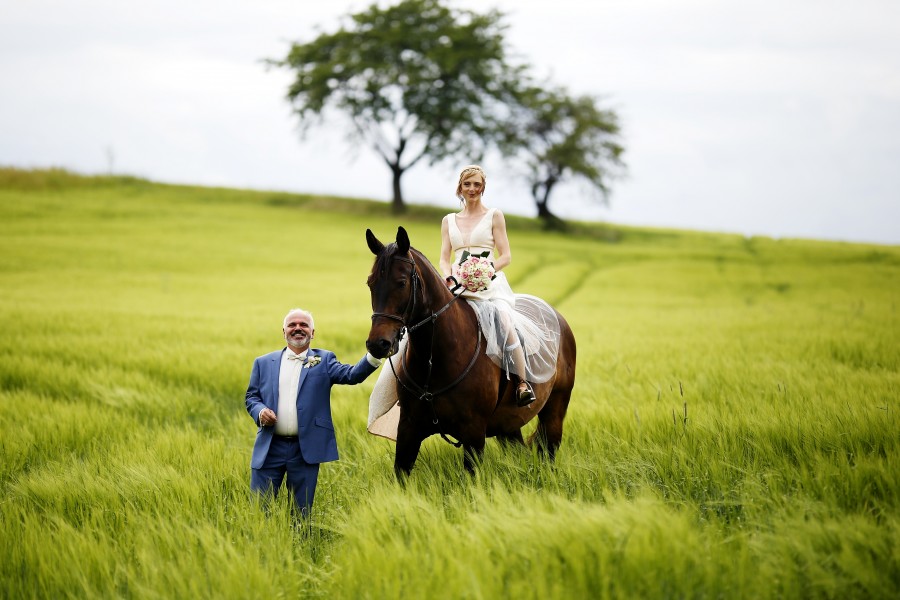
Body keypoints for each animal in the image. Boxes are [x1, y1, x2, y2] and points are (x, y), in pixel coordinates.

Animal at [366, 226, 576, 478]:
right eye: (370, 283)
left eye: (402, 282)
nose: (378, 344)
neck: (435, 358)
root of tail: (558, 317)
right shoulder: (408, 429)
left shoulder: (474, 434)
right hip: (508, 426)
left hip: (554, 415)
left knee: (549, 452)